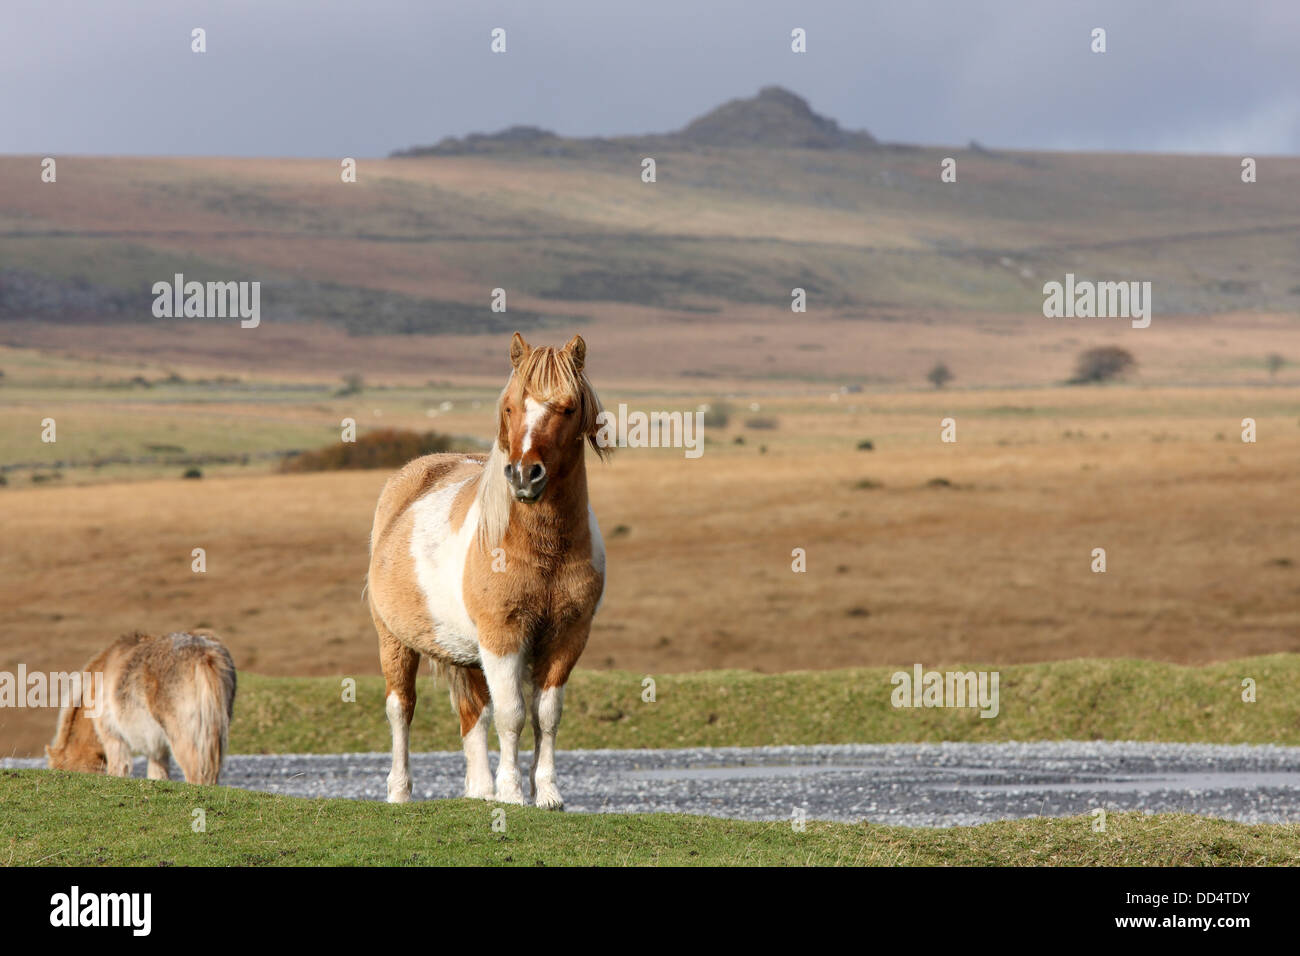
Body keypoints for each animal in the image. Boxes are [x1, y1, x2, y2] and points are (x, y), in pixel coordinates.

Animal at [366, 332, 610, 808]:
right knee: (401, 709)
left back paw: (480, 792)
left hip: (466, 654)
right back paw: (400, 792)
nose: (525, 476)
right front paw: (512, 793)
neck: (541, 549)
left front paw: (547, 793)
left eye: (568, 407)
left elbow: (546, 714)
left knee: (473, 713)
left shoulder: (568, 636)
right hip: (395, 641)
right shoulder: (502, 637)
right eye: (511, 406)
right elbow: (513, 714)